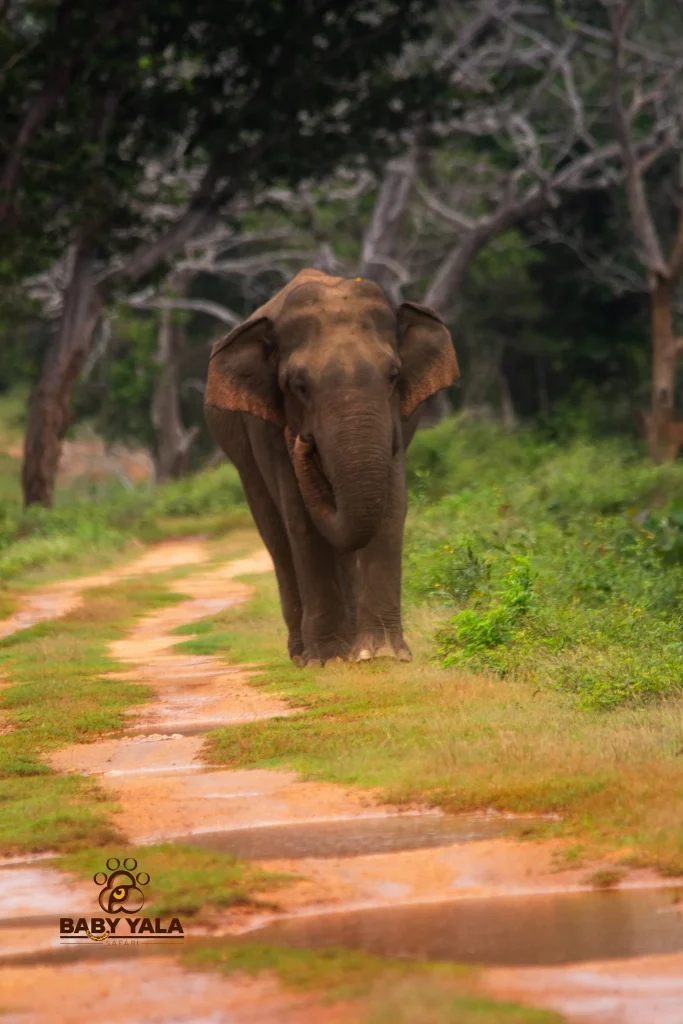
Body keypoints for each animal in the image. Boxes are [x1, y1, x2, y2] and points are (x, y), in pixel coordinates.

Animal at [204, 268, 459, 666]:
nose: (303, 442)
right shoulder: (267, 428)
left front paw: (382, 654)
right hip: (240, 455)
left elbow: (390, 508)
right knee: (276, 535)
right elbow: (301, 520)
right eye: (298, 385)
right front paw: (325, 659)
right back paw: (301, 654)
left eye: (393, 376)